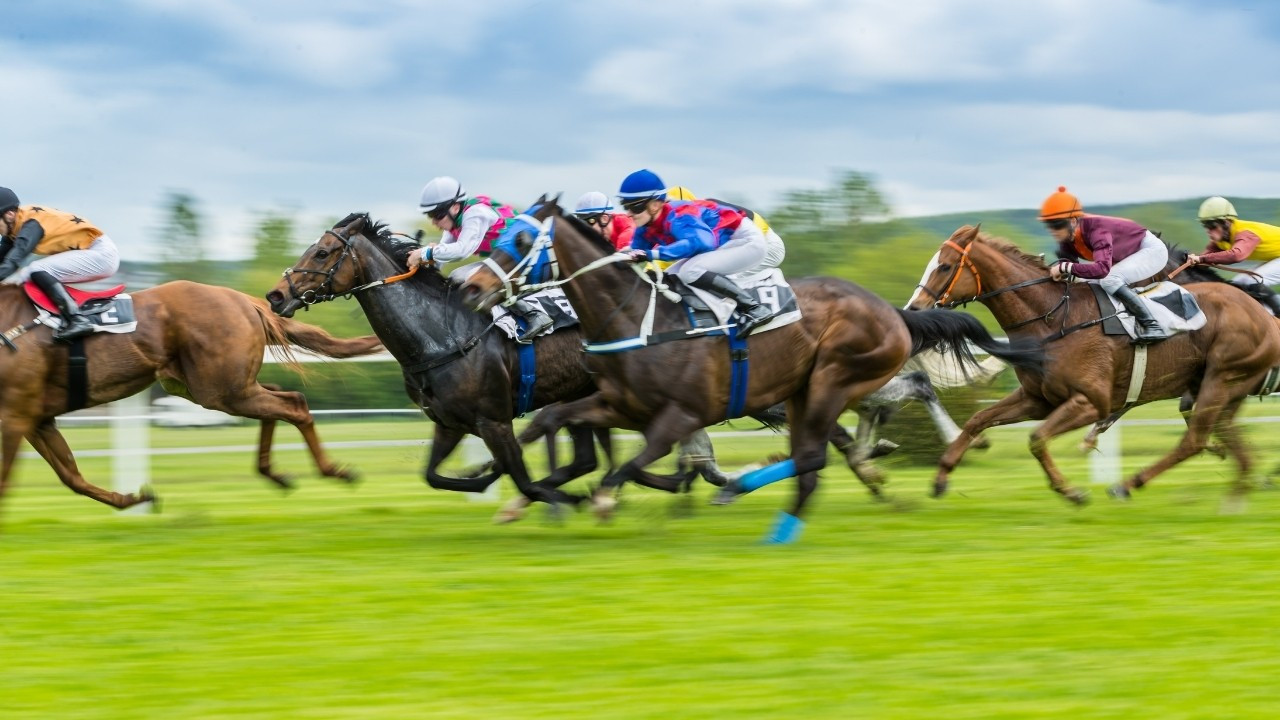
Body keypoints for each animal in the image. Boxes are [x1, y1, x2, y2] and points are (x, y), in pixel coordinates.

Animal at [0, 280, 381, 509]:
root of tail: (243, 299)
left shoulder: (15, 416)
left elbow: (8, 481)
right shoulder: (35, 418)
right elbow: (71, 476)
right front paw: (133, 497)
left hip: (220, 389)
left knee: (294, 403)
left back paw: (333, 470)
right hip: (213, 386)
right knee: (277, 398)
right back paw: (274, 472)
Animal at [455, 196, 1044, 538]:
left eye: (520, 239)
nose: (471, 288)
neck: (636, 315)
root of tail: (890, 310)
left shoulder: (679, 414)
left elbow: (630, 465)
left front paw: (594, 499)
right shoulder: (619, 404)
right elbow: (547, 422)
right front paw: (502, 484)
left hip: (833, 379)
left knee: (842, 435)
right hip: (809, 390)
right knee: (825, 447)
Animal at [906, 222, 1280, 499]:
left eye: (945, 266)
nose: (914, 309)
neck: (1054, 318)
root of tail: (1263, 317)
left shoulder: (1091, 401)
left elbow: (1037, 438)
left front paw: (1070, 490)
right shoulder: (1037, 399)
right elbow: (978, 420)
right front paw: (941, 476)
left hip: (1222, 377)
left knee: (1195, 439)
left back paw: (1128, 484)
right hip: (1221, 387)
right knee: (1224, 437)